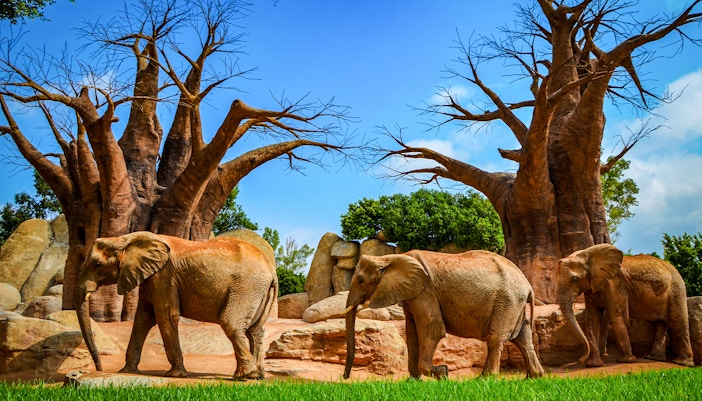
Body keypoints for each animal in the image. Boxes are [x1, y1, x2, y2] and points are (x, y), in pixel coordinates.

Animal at [75, 231, 278, 380]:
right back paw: (258, 376)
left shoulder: (163, 276)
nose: (99, 369)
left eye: (97, 264)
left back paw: (245, 376)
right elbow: (143, 319)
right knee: (256, 331)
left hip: (246, 288)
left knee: (231, 324)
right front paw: (127, 372)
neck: (124, 239)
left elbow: (165, 316)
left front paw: (174, 375)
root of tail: (271, 270)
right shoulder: (150, 277)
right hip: (259, 291)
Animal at [343, 250, 545, 380]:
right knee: (522, 337)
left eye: (360, 280)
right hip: (515, 304)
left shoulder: (425, 291)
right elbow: (412, 333)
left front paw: (443, 373)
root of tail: (528, 285)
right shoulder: (412, 294)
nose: (345, 377)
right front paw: (412, 382)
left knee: (496, 338)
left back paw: (483, 380)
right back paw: (533, 377)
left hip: (508, 301)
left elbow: (432, 329)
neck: (389, 258)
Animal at [557, 243, 693, 367]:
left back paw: (683, 363)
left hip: (676, 288)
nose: (578, 361)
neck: (587, 255)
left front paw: (626, 361)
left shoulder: (615, 284)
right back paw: (653, 358)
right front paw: (593, 364)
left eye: (574, 279)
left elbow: (617, 316)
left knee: (677, 322)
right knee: (660, 323)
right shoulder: (593, 287)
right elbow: (592, 319)